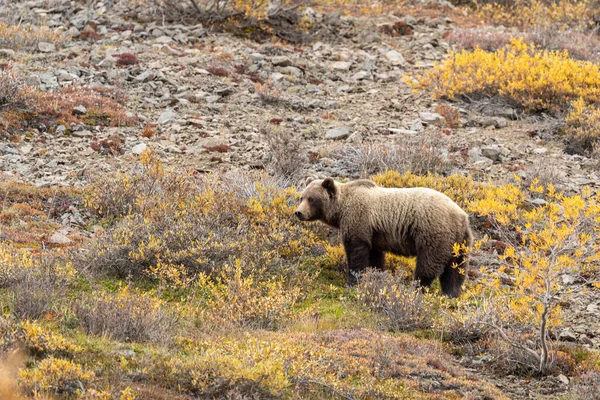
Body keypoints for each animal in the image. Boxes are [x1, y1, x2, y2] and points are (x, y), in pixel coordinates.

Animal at [296, 178, 474, 296]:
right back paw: (452, 293)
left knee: (428, 263)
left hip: (433, 232)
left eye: (311, 199)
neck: (340, 210)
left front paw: (352, 281)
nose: (298, 212)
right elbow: (375, 257)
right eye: (302, 197)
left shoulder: (358, 219)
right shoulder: (374, 234)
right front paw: (376, 276)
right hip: (460, 241)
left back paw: (417, 288)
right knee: (456, 268)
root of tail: (460, 215)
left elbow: (356, 252)